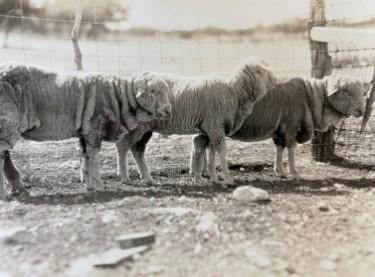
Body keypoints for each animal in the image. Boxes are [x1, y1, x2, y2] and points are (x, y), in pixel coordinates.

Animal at [0, 63, 172, 198]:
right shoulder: (94, 126)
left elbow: (86, 156)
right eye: (153, 91)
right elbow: (94, 156)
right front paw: (99, 186)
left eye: (166, 91)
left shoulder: (85, 130)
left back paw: (18, 187)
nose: (168, 110)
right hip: (7, 121)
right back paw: (6, 193)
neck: (120, 96)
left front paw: (89, 185)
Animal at [114, 57, 276, 184]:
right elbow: (221, 151)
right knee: (123, 146)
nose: (274, 79)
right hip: (137, 125)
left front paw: (213, 177)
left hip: (146, 128)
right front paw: (227, 178)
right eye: (259, 71)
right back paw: (124, 176)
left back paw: (148, 178)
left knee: (137, 150)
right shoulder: (215, 126)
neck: (234, 91)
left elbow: (211, 153)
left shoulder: (211, 128)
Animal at [189, 74, 366, 180]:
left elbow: (280, 149)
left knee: (199, 142)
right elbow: (291, 149)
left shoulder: (280, 129)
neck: (313, 97)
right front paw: (294, 173)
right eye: (346, 92)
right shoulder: (290, 126)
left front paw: (280, 171)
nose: (361, 111)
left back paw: (200, 171)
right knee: (203, 143)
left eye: (362, 91)